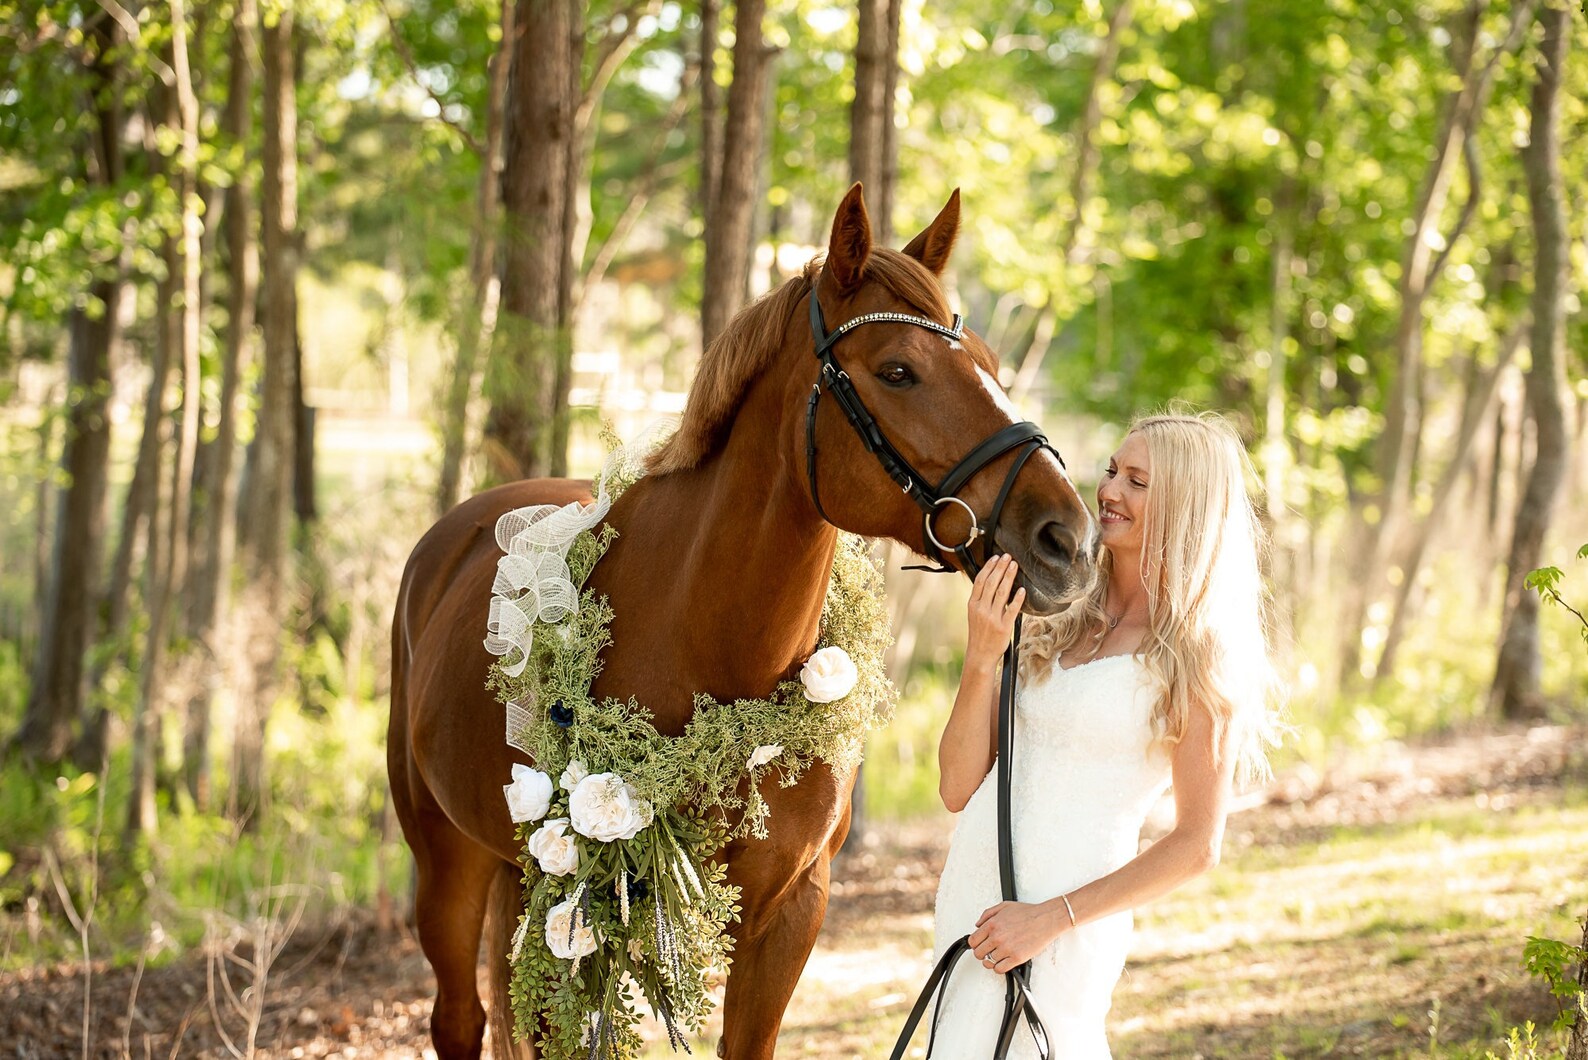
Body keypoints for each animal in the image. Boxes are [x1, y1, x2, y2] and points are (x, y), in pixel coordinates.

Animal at [388, 183, 1099, 1059]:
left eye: (992, 367)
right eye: (898, 371)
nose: (1067, 540)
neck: (706, 645)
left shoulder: (789, 913)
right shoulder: (580, 908)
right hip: (447, 866)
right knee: (460, 1018)